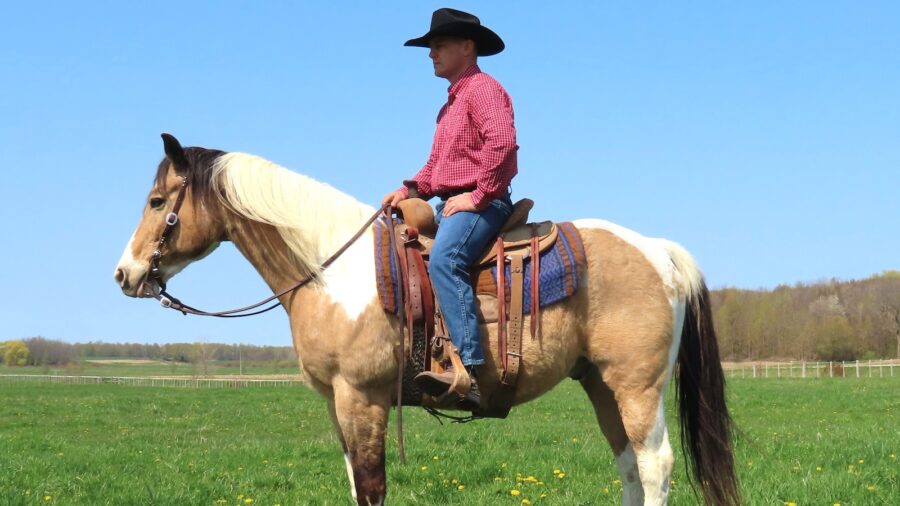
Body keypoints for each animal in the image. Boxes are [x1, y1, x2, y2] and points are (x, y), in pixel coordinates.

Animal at [114, 134, 739, 506]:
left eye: (156, 201)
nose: (124, 274)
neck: (330, 271)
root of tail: (659, 251)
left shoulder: (362, 397)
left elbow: (372, 487)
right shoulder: (338, 405)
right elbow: (356, 485)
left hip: (636, 385)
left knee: (654, 465)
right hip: (601, 384)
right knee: (630, 467)